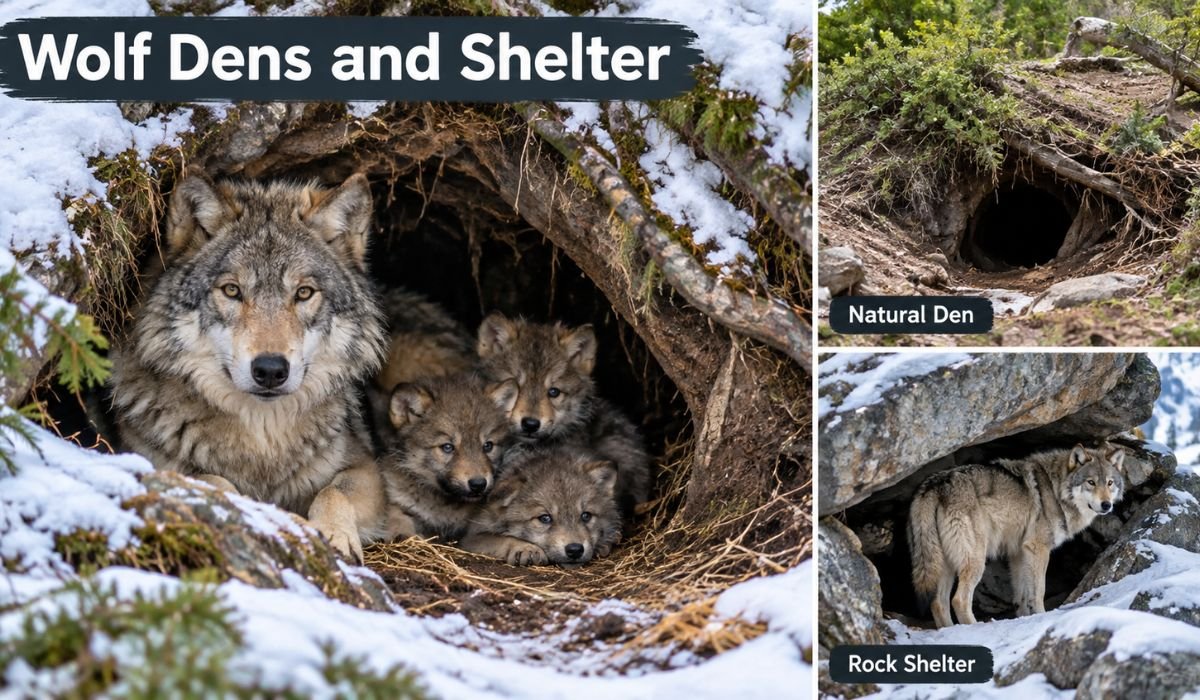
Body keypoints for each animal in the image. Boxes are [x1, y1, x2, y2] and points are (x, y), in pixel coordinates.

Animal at [110, 169, 388, 561]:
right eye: (232, 290)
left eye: (303, 293)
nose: (271, 369)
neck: (263, 438)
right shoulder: (146, 460)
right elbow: (215, 482)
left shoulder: (366, 468)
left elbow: (333, 492)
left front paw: (336, 535)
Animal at [381, 372, 512, 541]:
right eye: (447, 447)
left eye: (488, 446)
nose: (478, 484)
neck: (443, 505)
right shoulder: (398, 504)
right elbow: (399, 522)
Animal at [460, 446, 622, 567]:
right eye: (545, 518)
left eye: (586, 516)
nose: (575, 549)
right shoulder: (469, 538)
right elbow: (499, 538)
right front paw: (525, 548)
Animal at [908, 444, 1126, 628]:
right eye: (1091, 482)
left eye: (1109, 483)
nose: (1106, 505)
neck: (1056, 490)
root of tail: (934, 485)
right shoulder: (1038, 548)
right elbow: (1038, 592)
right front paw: (1042, 615)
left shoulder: (1018, 554)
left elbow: (1021, 596)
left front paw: (1024, 618)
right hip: (975, 560)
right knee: (959, 600)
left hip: (944, 564)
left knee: (938, 603)